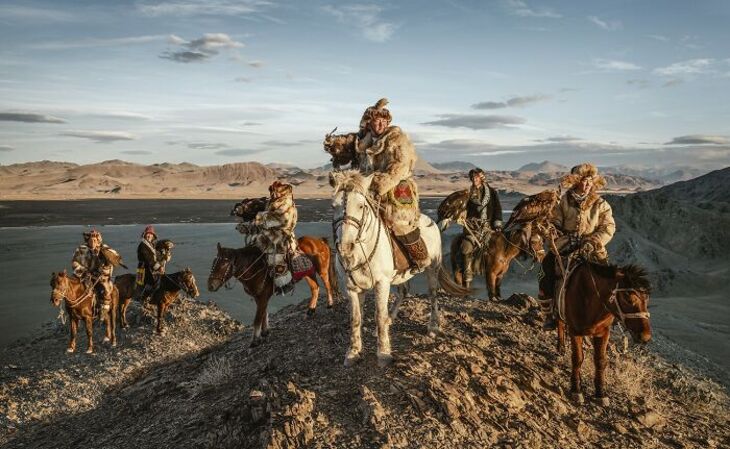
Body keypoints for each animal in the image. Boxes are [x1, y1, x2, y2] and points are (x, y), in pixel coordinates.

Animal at [206, 236, 336, 344]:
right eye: (213, 262)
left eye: (223, 264)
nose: (210, 285)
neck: (253, 267)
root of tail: (320, 240)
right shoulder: (259, 297)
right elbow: (263, 313)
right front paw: (265, 332)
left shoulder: (263, 296)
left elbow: (257, 318)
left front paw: (255, 341)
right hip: (309, 274)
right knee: (315, 288)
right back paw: (310, 310)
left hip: (322, 270)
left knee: (327, 285)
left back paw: (330, 304)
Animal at [330, 170, 466, 366]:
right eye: (333, 206)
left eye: (361, 206)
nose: (346, 247)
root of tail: (432, 222)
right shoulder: (351, 288)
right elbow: (355, 319)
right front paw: (353, 352)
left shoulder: (381, 283)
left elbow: (379, 315)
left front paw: (384, 352)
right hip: (400, 275)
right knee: (403, 291)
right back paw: (390, 321)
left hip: (432, 268)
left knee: (433, 294)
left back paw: (433, 326)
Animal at [556, 260, 652, 404]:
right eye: (629, 299)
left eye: (647, 300)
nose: (645, 337)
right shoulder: (575, 331)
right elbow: (577, 358)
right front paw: (576, 390)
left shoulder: (603, 333)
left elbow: (601, 361)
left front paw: (600, 393)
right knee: (560, 323)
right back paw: (560, 347)